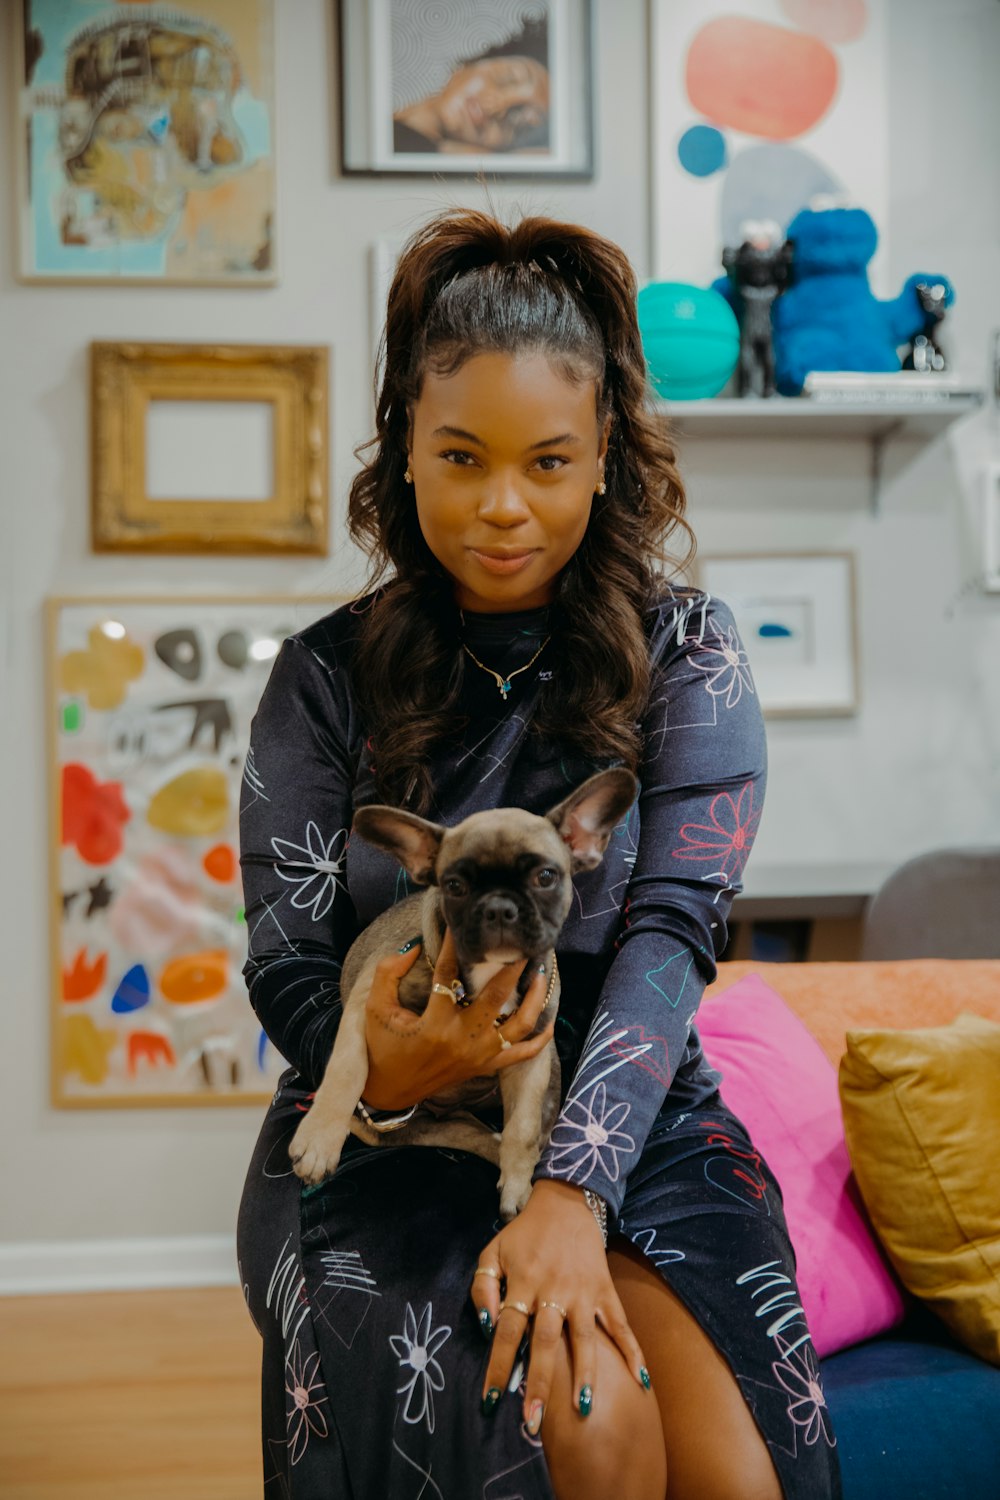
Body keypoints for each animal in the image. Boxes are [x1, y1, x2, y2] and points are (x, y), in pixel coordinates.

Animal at [284, 762, 638, 1218]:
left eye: (546, 876)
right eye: (453, 886)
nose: (499, 907)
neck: (486, 976)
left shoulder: (530, 1060)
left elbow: (522, 1126)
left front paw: (518, 1186)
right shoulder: (366, 1006)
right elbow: (347, 1068)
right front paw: (318, 1140)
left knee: (506, 1133)